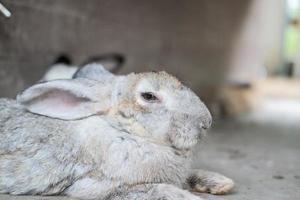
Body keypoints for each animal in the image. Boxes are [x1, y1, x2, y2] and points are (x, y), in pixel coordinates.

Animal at [0, 64, 233, 200]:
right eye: (148, 96)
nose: (206, 121)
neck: (127, 132)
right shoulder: (102, 187)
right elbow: (158, 191)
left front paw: (221, 183)